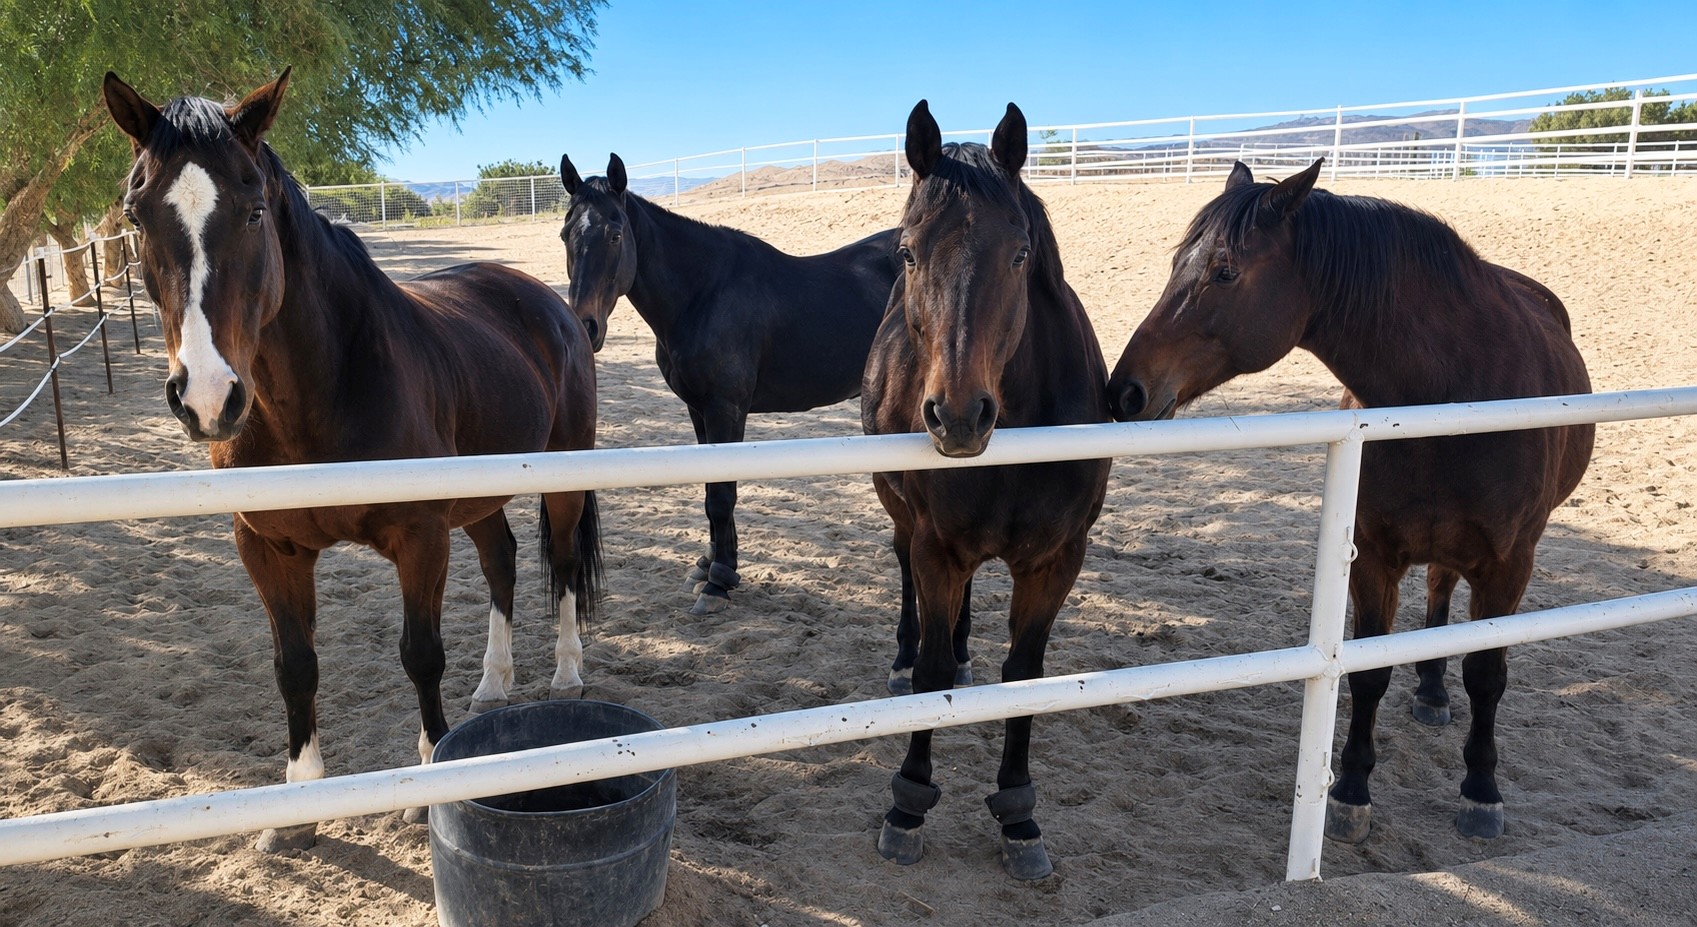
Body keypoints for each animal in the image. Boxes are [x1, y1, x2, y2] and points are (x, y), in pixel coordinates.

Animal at [103, 70, 603, 852]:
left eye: (253, 210)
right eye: (136, 215)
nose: (209, 396)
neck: (322, 391)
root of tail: (542, 300)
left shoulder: (420, 536)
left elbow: (420, 653)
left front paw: (429, 786)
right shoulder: (266, 548)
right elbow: (295, 666)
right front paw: (298, 808)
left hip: (562, 476)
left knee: (564, 563)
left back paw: (567, 673)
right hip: (481, 495)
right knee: (502, 560)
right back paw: (493, 683)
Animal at [558, 152, 900, 614]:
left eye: (615, 234)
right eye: (565, 234)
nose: (585, 325)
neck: (703, 293)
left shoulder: (725, 408)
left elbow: (721, 496)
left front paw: (718, 581)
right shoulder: (699, 409)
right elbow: (712, 489)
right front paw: (713, 565)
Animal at [862, 101, 1111, 880]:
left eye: (1020, 254)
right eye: (910, 253)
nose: (959, 414)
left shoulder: (1057, 559)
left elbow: (1024, 672)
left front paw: (1018, 814)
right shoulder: (936, 547)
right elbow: (931, 669)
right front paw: (908, 802)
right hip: (905, 522)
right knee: (910, 590)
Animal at [1106, 158, 1594, 843]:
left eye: (1224, 270)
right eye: (1179, 261)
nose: (1123, 391)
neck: (1455, 389)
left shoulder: (1508, 567)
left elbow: (1486, 677)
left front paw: (1481, 792)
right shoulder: (1373, 559)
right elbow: (1367, 674)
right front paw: (1352, 791)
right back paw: (1430, 691)